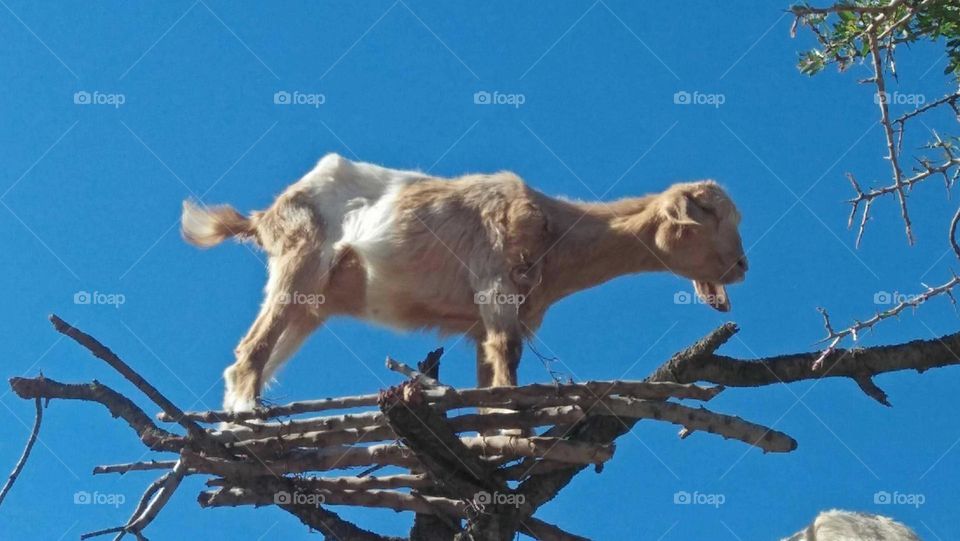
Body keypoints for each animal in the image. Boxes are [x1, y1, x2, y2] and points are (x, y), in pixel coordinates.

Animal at [182, 154, 752, 412]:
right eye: (711, 215)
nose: (743, 266)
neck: (553, 228)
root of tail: (265, 214)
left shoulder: (480, 323)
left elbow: (488, 379)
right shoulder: (496, 289)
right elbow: (509, 362)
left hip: (312, 304)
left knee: (249, 358)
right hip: (300, 260)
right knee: (250, 350)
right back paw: (249, 414)